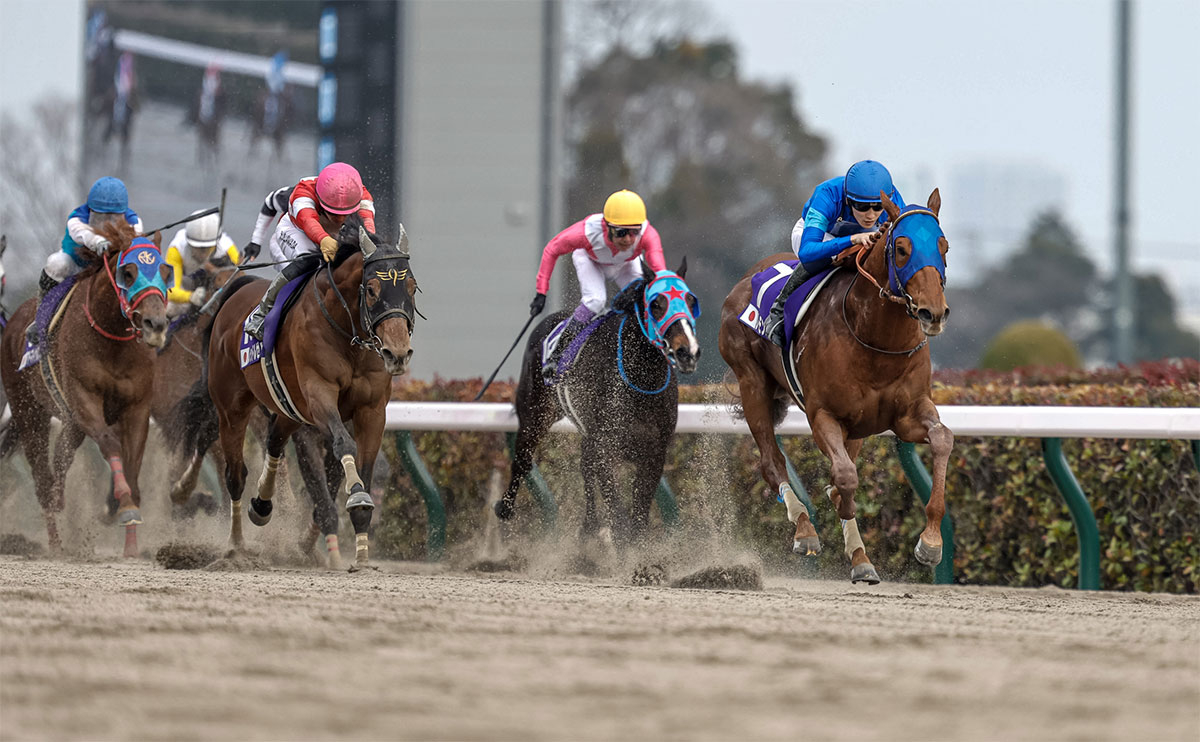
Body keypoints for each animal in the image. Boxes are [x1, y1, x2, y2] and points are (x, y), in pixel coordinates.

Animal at [0, 222, 171, 552]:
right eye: (128, 272)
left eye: (165, 271)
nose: (155, 324)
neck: (112, 340)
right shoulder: (84, 400)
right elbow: (110, 444)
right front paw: (124, 505)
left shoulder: (136, 407)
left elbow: (133, 465)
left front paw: (131, 542)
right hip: (29, 411)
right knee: (42, 479)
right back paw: (56, 543)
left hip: (69, 424)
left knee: (59, 466)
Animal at [166, 219, 415, 566]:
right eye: (372, 289)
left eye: (412, 288)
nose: (398, 353)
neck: (346, 334)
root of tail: (237, 290)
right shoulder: (317, 403)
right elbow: (337, 456)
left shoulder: (370, 410)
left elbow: (356, 466)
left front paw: (361, 550)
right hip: (232, 406)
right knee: (231, 469)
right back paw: (233, 543)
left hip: (286, 409)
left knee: (272, 441)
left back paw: (261, 506)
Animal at [494, 258, 700, 542]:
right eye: (656, 304)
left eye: (691, 301)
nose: (687, 352)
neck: (640, 380)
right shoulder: (606, 448)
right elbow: (619, 518)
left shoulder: (654, 453)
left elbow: (638, 518)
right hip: (534, 414)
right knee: (523, 460)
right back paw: (504, 507)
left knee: (584, 466)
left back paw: (589, 526)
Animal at [715, 187, 950, 581]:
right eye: (902, 249)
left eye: (943, 246)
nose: (933, 313)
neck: (876, 339)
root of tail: (747, 277)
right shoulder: (823, 414)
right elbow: (846, 477)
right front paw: (854, 548)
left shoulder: (906, 414)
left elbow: (942, 439)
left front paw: (929, 543)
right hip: (751, 382)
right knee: (771, 461)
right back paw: (804, 530)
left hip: (856, 427)